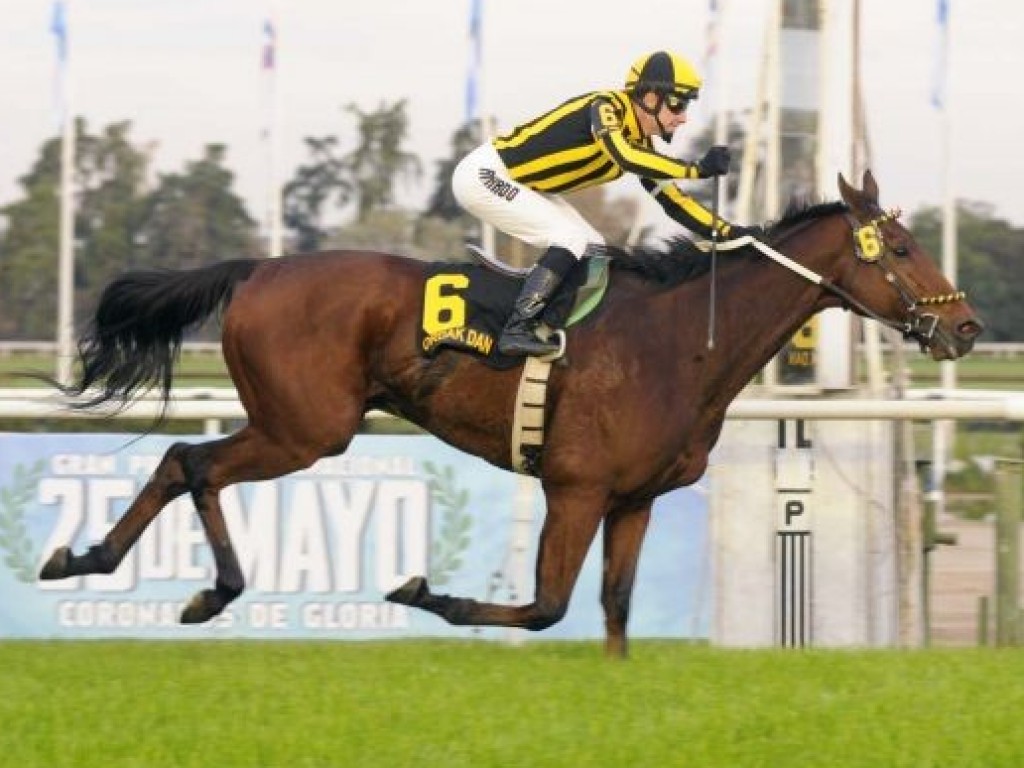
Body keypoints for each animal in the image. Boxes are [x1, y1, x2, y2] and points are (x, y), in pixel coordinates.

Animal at [37, 171, 983, 659]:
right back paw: (182, 586)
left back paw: (92, 560)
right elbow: (544, 607)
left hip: (294, 427)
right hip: (305, 430)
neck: (683, 341)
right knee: (189, 463)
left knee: (180, 464)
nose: (967, 326)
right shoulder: (575, 488)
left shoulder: (634, 499)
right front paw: (424, 590)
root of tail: (258, 270)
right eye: (901, 248)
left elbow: (614, 606)